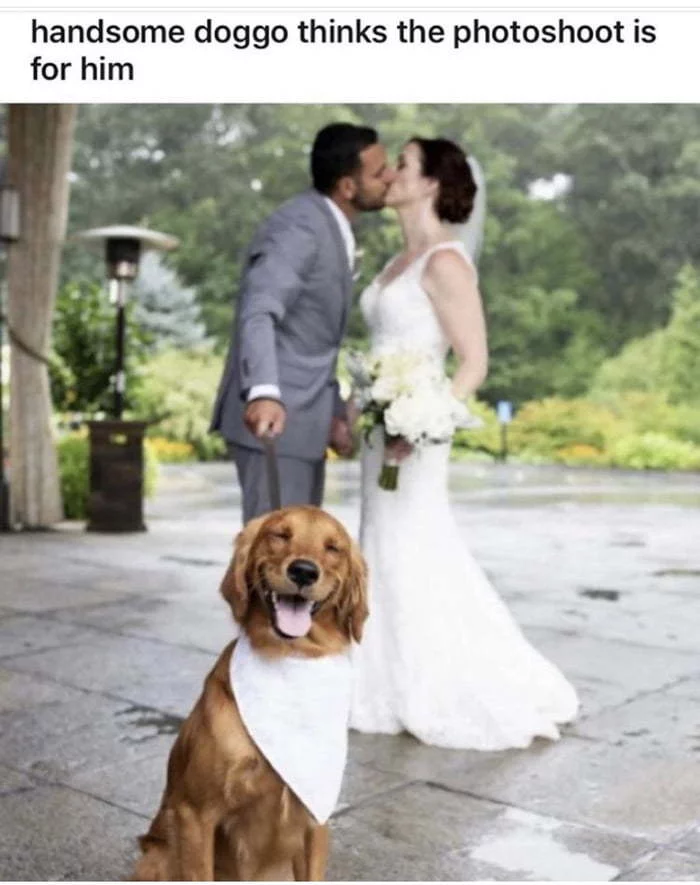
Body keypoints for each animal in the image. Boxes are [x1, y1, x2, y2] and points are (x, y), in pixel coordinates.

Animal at [133, 508, 370, 880]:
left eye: (334, 548)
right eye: (280, 535)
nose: (304, 570)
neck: (291, 656)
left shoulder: (316, 818)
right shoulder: (194, 813)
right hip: (157, 857)